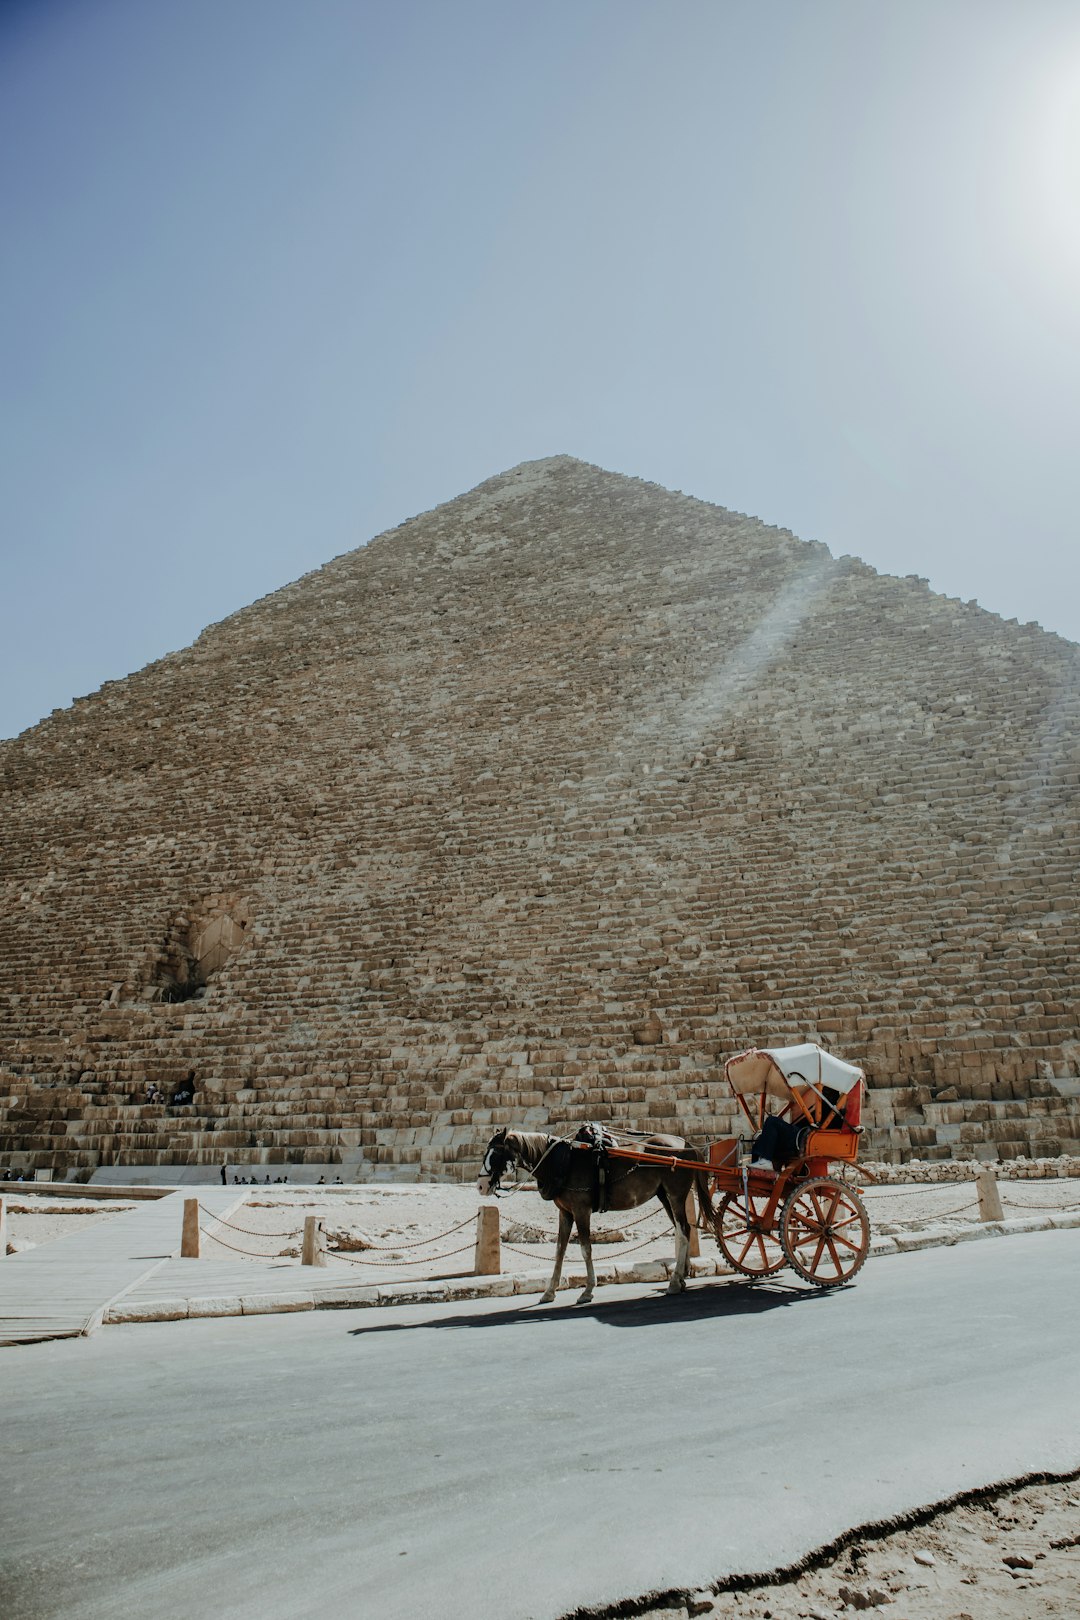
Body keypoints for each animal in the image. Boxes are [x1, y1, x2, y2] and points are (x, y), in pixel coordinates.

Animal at [479, 1127, 718, 1302]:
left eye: (496, 1153)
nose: (481, 1186)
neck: (562, 1162)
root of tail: (688, 1146)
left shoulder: (581, 1209)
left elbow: (585, 1249)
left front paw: (588, 1290)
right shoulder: (565, 1212)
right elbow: (559, 1251)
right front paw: (549, 1291)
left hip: (676, 1194)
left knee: (684, 1231)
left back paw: (675, 1281)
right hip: (664, 1195)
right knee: (682, 1230)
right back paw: (682, 1277)